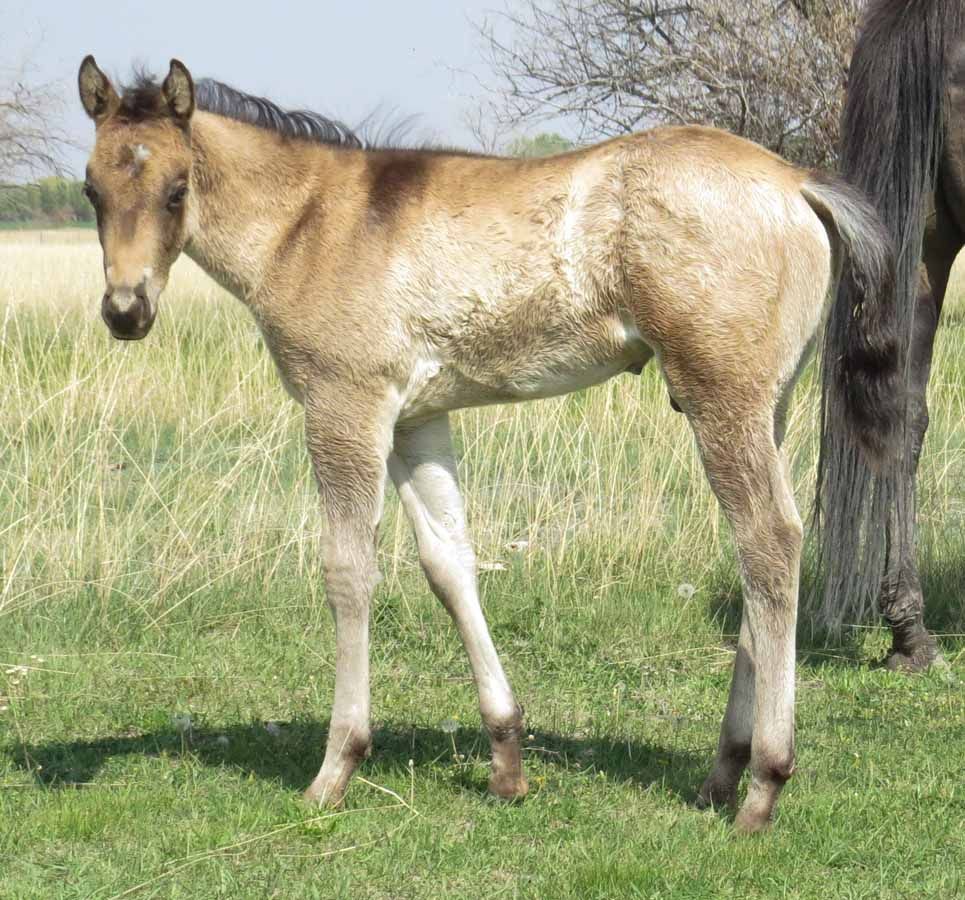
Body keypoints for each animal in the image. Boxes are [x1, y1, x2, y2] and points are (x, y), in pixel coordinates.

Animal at [76, 54, 899, 832]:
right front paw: (506, 758)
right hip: (766, 406)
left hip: (720, 401)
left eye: (177, 188)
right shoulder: (414, 420)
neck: (310, 223)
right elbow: (449, 564)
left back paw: (763, 784)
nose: (125, 311)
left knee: (769, 541)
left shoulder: (345, 408)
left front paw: (336, 767)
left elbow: (348, 571)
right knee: (760, 557)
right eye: (90, 189)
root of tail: (796, 181)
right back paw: (721, 772)